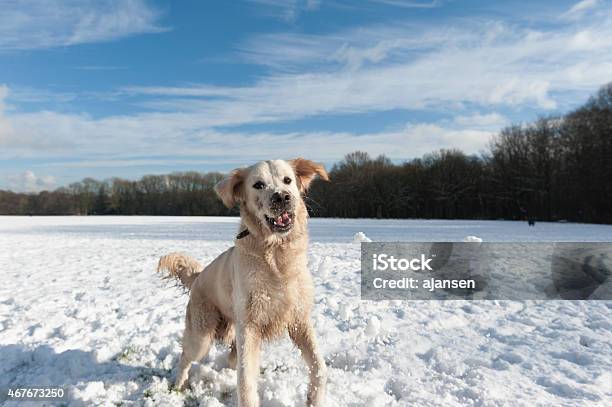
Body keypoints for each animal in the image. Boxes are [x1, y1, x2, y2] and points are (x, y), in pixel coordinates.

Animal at [158, 159, 330, 407]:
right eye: (258, 184)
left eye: (287, 180)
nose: (282, 197)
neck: (276, 255)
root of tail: (199, 275)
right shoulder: (250, 326)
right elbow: (246, 383)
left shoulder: (299, 320)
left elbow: (319, 367)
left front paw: (313, 398)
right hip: (201, 336)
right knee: (186, 357)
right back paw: (179, 384)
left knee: (231, 358)